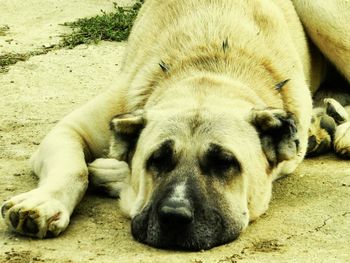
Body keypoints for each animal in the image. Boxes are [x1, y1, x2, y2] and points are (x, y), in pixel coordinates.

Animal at [2, 0, 350, 252]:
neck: (210, 67)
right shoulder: (70, 129)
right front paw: (45, 202)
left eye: (225, 163)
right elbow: (74, 167)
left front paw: (114, 174)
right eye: (156, 159)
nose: (174, 217)